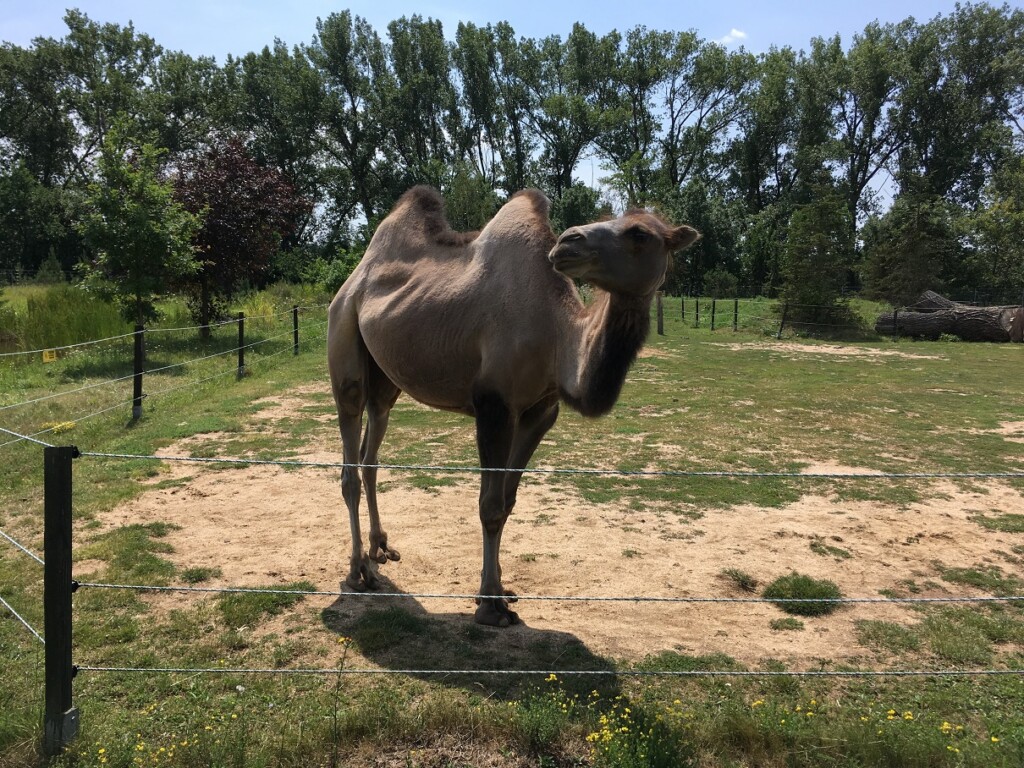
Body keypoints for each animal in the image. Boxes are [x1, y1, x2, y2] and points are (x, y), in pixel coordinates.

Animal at [325, 186, 696, 626]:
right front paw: (489, 605)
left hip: (386, 378)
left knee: (371, 453)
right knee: (349, 459)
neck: (557, 336)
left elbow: (508, 501)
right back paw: (358, 571)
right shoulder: (494, 405)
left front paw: (502, 590)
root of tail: (353, 281)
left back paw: (380, 548)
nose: (568, 241)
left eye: (640, 233)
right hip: (343, 336)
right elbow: (489, 505)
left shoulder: (540, 411)